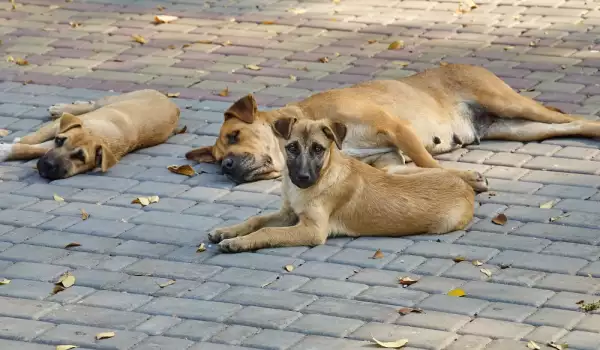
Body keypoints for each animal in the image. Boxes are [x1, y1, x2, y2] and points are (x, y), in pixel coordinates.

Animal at [0, 89, 179, 180]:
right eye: (59, 141)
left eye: (80, 157)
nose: (49, 165)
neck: (96, 133)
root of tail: (173, 104)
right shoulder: (56, 128)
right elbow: (33, 139)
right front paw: (15, 143)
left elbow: (34, 148)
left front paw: (8, 149)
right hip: (112, 100)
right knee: (93, 104)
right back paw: (62, 108)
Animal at [185, 64, 600, 187]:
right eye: (216, 157)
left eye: (234, 135)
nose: (226, 166)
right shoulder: (389, 161)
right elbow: (416, 170)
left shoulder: (397, 129)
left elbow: (431, 164)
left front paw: (464, 178)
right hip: (519, 127)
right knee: (569, 126)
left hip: (510, 103)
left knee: (575, 118)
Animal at [209, 117, 480, 252]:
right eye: (292, 148)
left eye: (318, 149)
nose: (303, 178)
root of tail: (465, 189)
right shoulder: (289, 214)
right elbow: (256, 220)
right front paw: (227, 231)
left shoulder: (312, 229)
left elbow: (267, 232)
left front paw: (236, 243)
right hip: (396, 171)